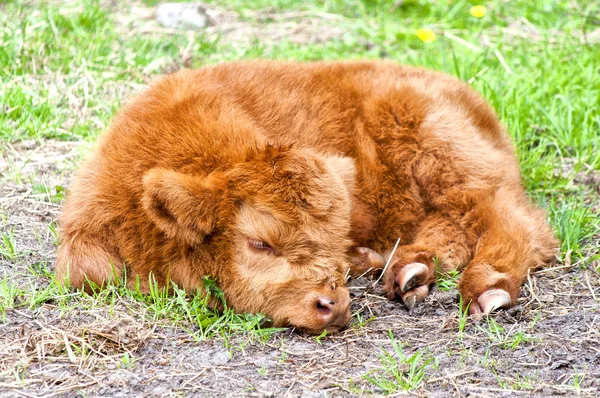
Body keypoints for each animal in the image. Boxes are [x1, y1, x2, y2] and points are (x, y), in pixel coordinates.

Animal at [56, 59, 556, 332]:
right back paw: (410, 273)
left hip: (439, 152)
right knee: (454, 220)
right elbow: (91, 271)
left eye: (333, 239)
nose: (333, 306)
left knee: (504, 214)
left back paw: (488, 290)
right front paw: (367, 260)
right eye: (259, 243)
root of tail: (470, 97)